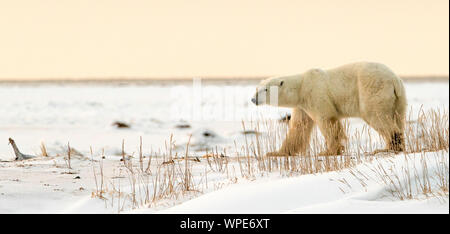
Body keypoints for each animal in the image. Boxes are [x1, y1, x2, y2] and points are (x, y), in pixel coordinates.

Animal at [251, 61, 410, 155]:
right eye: (257, 88)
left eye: (265, 90)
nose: (253, 99)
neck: (301, 86)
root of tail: (394, 79)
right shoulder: (302, 105)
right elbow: (299, 127)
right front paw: (276, 153)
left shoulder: (315, 93)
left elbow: (327, 121)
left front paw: (330, 151)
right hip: (399, 99)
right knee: (398, 118)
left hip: (372, 89)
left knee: (376, 116)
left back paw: (388, 147)